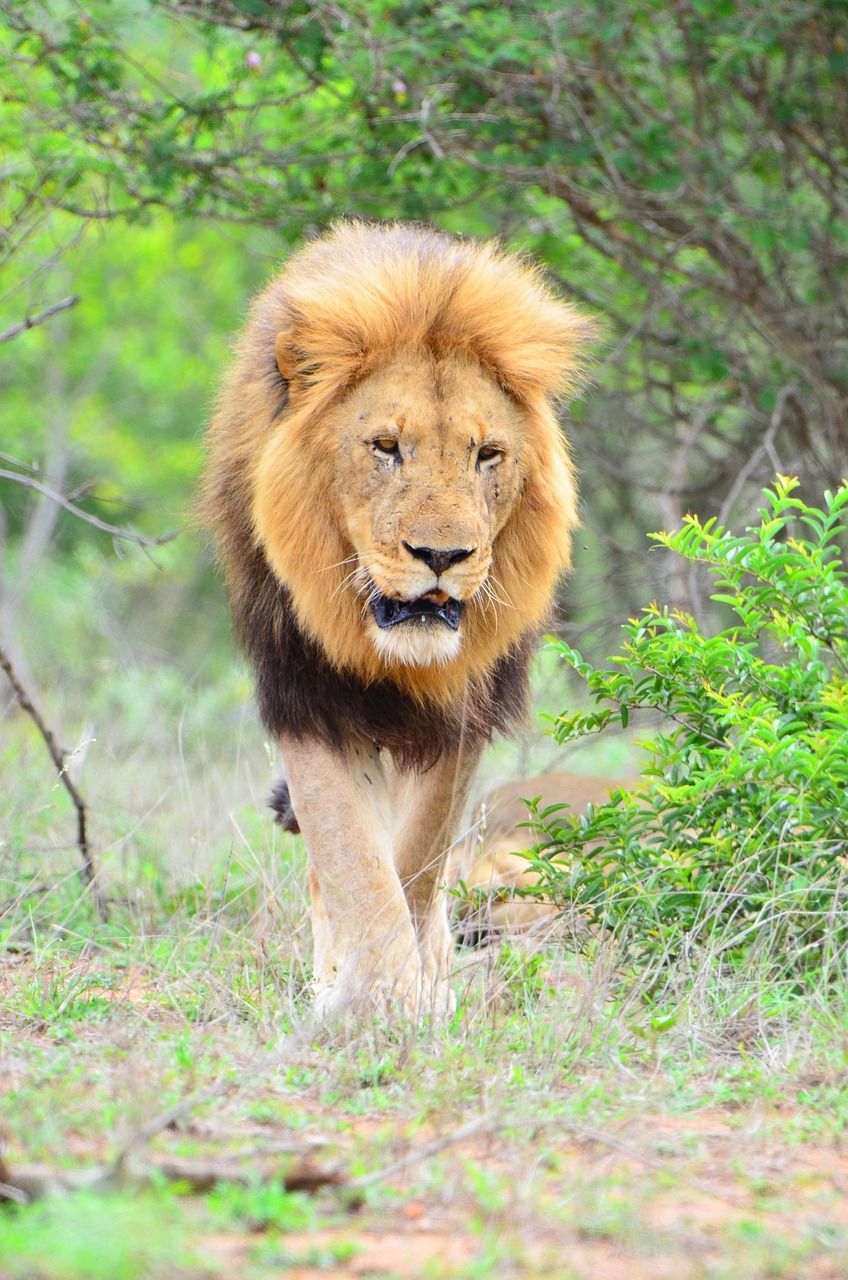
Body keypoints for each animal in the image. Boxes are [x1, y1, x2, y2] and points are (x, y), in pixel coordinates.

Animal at [202, 221, 595, 1020]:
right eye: (386, 447)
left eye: (487, 454)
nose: (441, 555)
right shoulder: (308, 696)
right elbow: (351, 855)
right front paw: (373, 1002)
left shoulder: (464, 714)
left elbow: (416, 857)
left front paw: (419, 992)